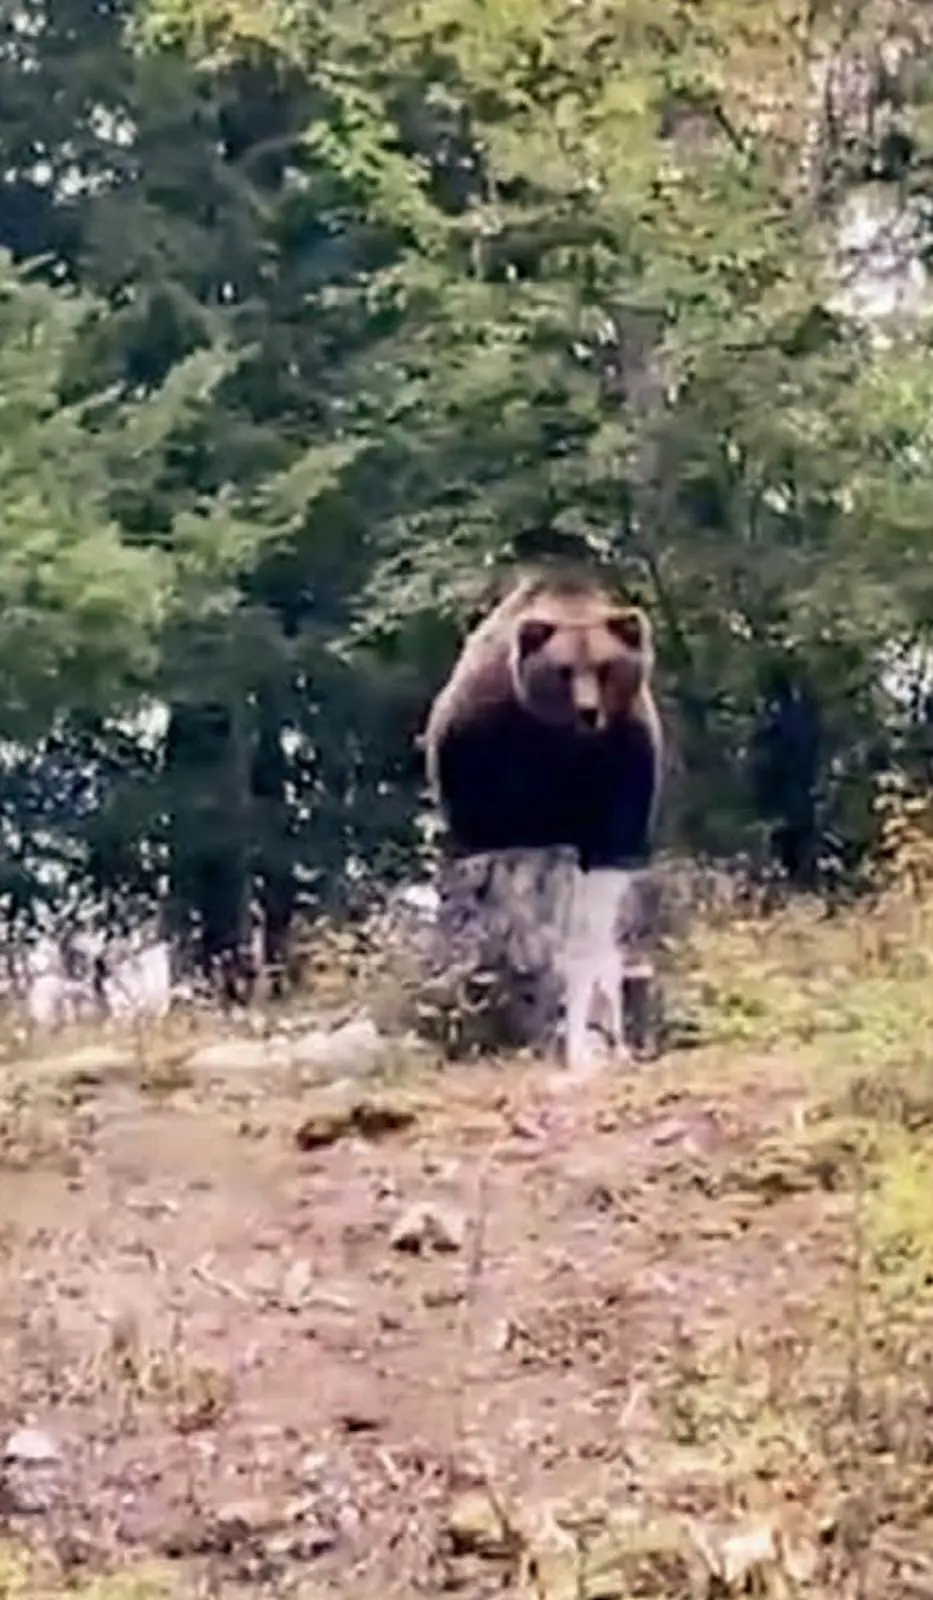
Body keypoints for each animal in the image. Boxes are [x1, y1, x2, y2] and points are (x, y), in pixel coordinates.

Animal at [422, 568, 663, 872]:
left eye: (604, 667)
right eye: (564, 671)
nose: (588, 710)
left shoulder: (622, 730)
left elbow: (628, 789)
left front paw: (617, 852)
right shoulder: (489, 718)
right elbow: (473, 778)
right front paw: (482, 841)